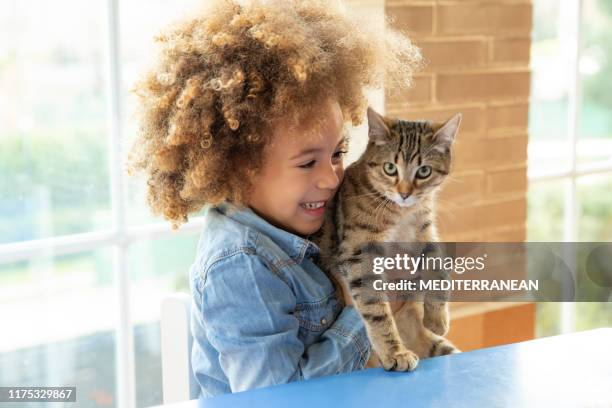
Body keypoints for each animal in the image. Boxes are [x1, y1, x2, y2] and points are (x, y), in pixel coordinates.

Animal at [314, 107, 462, 372]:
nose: (405, 193)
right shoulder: (359, 253)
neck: (402, 214)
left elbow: (439, 268)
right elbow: (376, 310)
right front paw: (395, 353)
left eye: (424, 171)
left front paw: (437, 318)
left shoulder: (426, 232)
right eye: (390, 168)